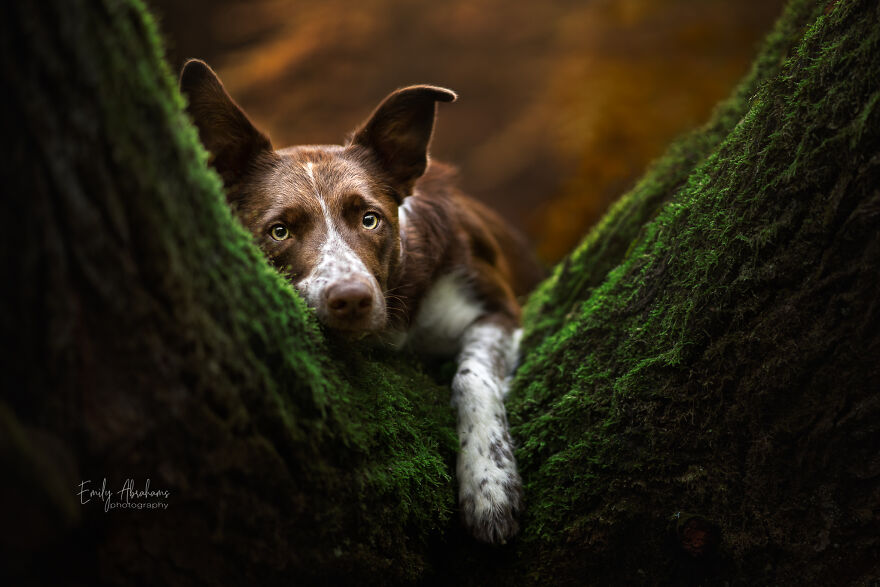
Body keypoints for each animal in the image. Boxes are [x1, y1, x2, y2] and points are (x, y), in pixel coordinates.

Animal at [179, 60, 544, 548]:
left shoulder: (496, 305)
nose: (352, 299)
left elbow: (472, 378)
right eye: (280, 231)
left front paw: (490, 487)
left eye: (370, 219)